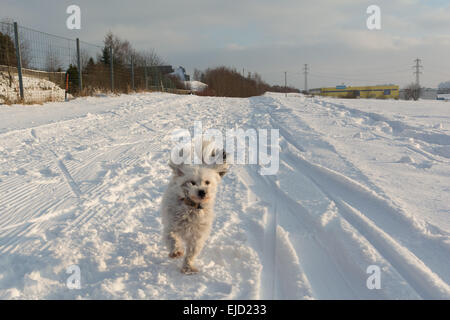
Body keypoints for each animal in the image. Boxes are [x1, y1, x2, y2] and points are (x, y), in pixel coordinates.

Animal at [160, 142, 229, 276]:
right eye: (191, 182)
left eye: (207, 182)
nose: (202, 191)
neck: (192, 207)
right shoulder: (171, 226)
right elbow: (172, 238)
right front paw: (176, 251)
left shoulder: (197, 235)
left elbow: (192, 252)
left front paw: (188, 267)